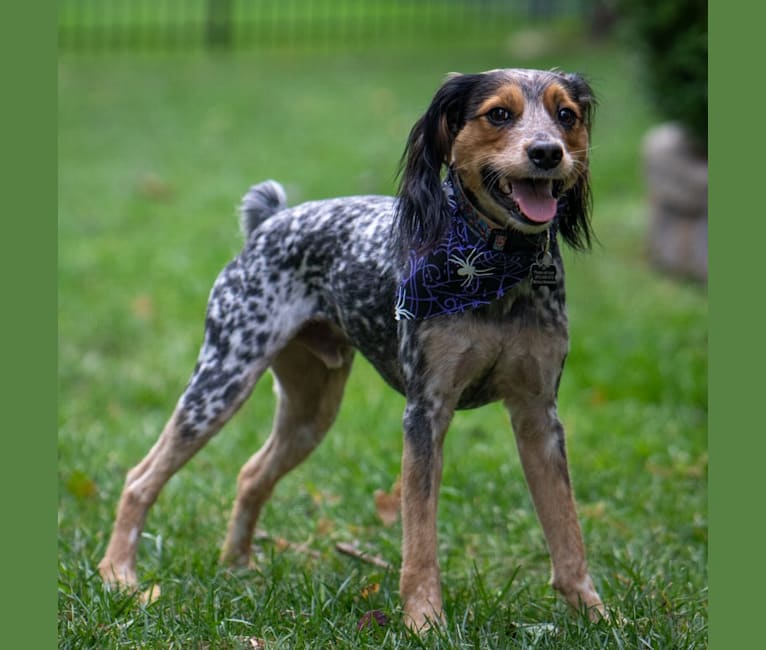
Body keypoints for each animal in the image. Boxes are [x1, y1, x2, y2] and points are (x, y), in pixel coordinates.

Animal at [100, 69, 608, 628]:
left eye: (566, 115)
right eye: (498, 113)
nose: (547, 152)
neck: (492, 269)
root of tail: (269, 223)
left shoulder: (538, 415)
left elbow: (567, 534)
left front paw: (597, 615)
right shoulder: (425, 412)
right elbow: (419, 538)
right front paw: (424, 620)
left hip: (311, 411)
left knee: (251, 474)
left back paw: (236, 568)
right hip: (220, 383)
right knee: (140, 479)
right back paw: (119, 575)